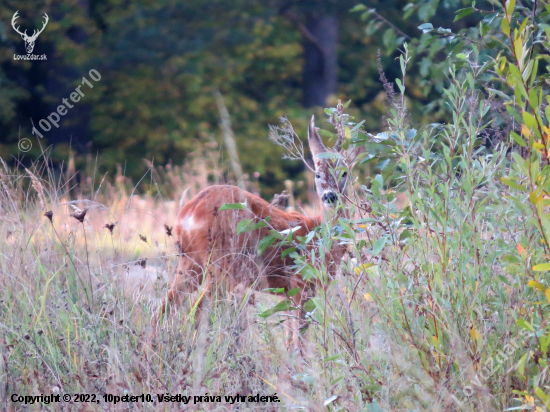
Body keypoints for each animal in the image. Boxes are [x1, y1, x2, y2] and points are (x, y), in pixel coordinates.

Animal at [157, 116, 350, 348]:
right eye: (318, 174)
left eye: (345, 172)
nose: (330, 196)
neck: (320, 236)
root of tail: (190, 211)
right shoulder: (302, 283)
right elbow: (301, 337)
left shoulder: (287, 292)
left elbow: (289, 337)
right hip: (222, 264)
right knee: (199, 311)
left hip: (189, 262)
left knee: (165, 307)